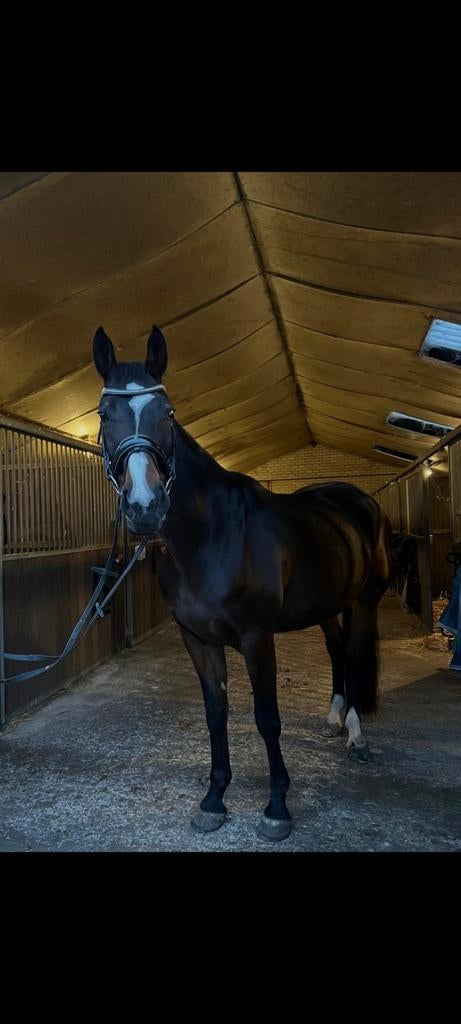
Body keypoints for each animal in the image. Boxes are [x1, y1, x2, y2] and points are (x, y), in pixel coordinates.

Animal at [93, 323, 392, 841]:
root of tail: (354, 497)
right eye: (104, 414)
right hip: (327, 605)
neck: (211, 535)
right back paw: (334, 717)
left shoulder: (256, 637)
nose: (145, 507)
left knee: (355, 655)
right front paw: (214, 800)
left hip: (364, 601)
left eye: (168, 413)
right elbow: (216, 714)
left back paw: (356, 736)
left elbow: (266, 718)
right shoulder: (197, 639)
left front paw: (277, 808)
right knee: (336, 651)